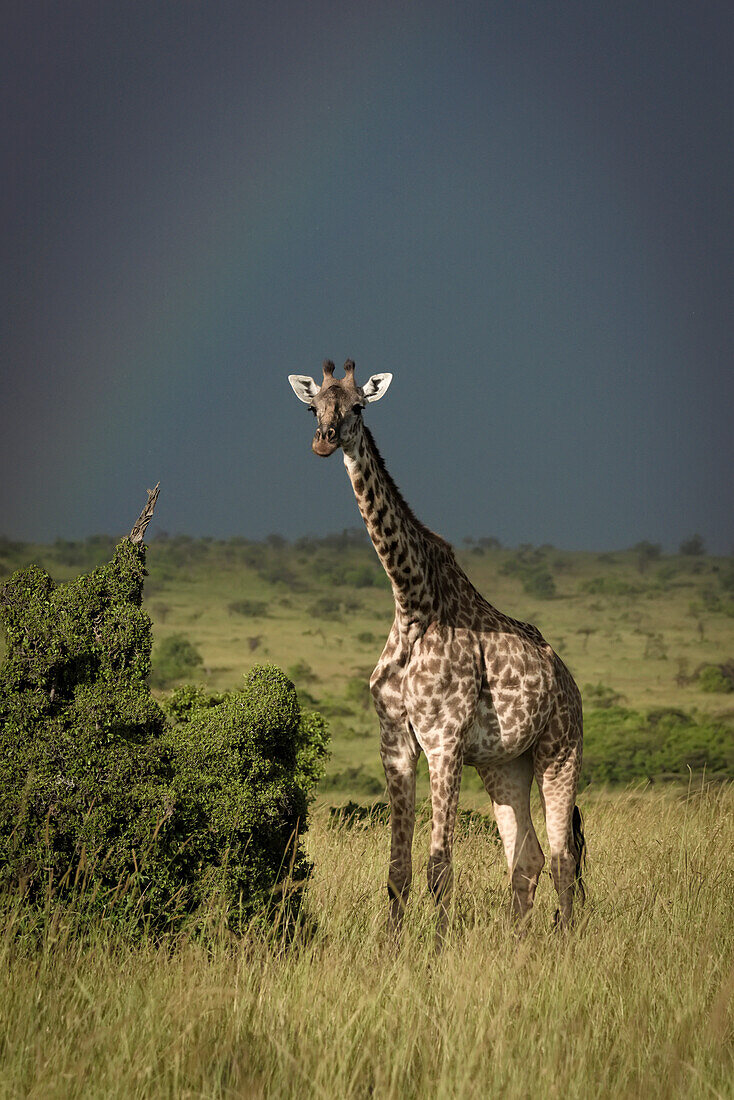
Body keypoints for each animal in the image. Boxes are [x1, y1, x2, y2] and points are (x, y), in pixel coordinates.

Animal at [286, 358, 585, 937]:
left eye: (359, 407)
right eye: (313, 408)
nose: (324, 441)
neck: (412, 605)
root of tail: (568, 679)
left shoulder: (444, 740)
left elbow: (439, 864)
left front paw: (439, 947)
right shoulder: (395, 742)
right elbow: (398, 867)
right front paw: (393, 945)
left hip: (561, 749)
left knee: (562, 855)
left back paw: (563, 940)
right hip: (504, 763)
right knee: (528, 857)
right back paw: (520, 942)